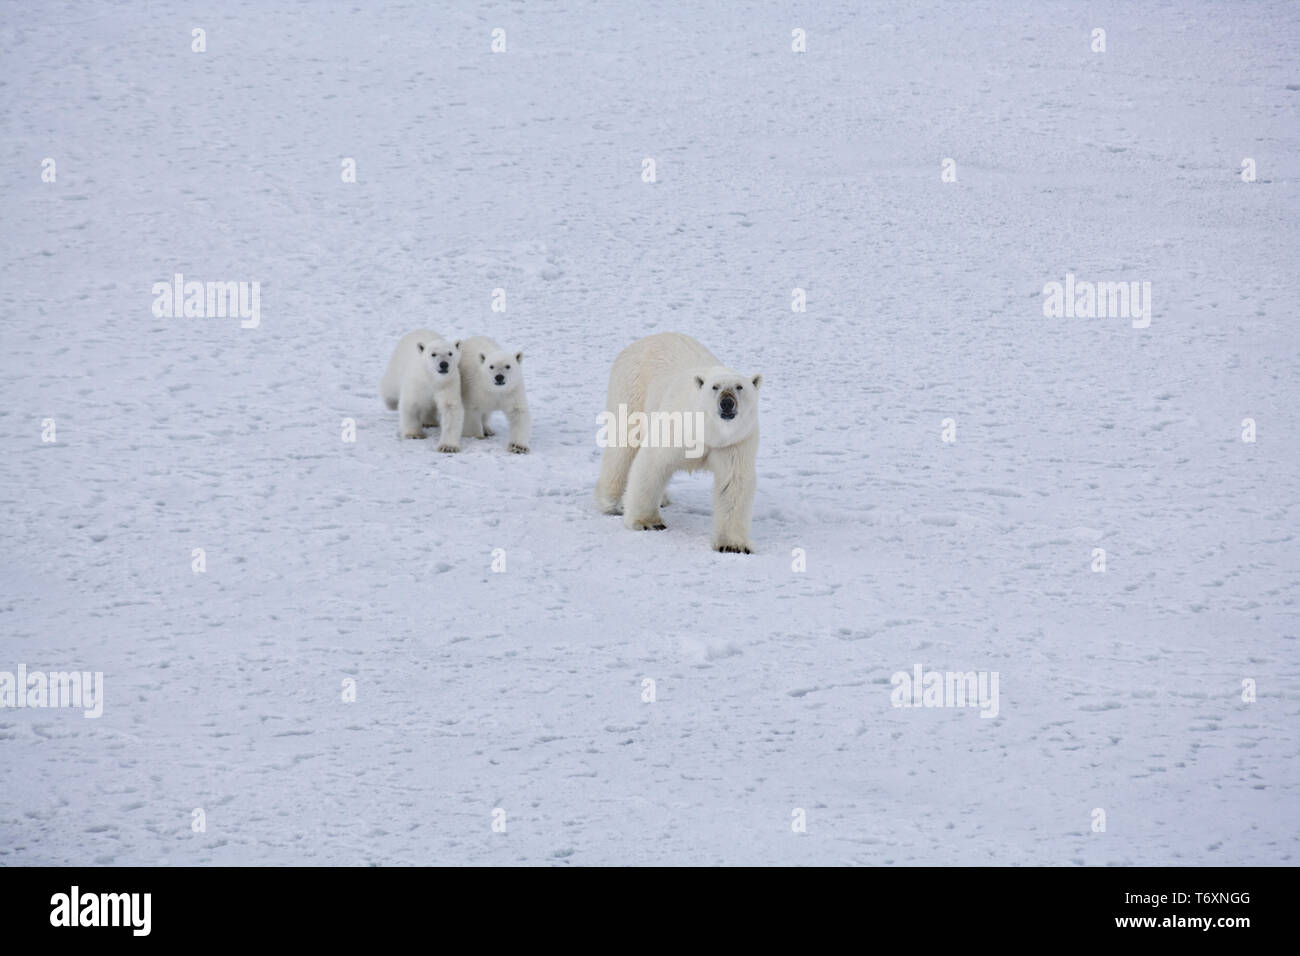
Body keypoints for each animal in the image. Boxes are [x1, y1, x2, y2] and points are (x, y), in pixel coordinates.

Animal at [594, 332, 762, 553]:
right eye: (715, 387)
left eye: (739, 387)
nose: (727, 403)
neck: (708, 433)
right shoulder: (677, 427)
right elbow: (652, 463)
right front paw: (648, 522)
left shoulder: (734, 443)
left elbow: (733, 484)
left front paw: (733, 545)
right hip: (631, 388)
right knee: (624, 447)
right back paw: (613, 502)